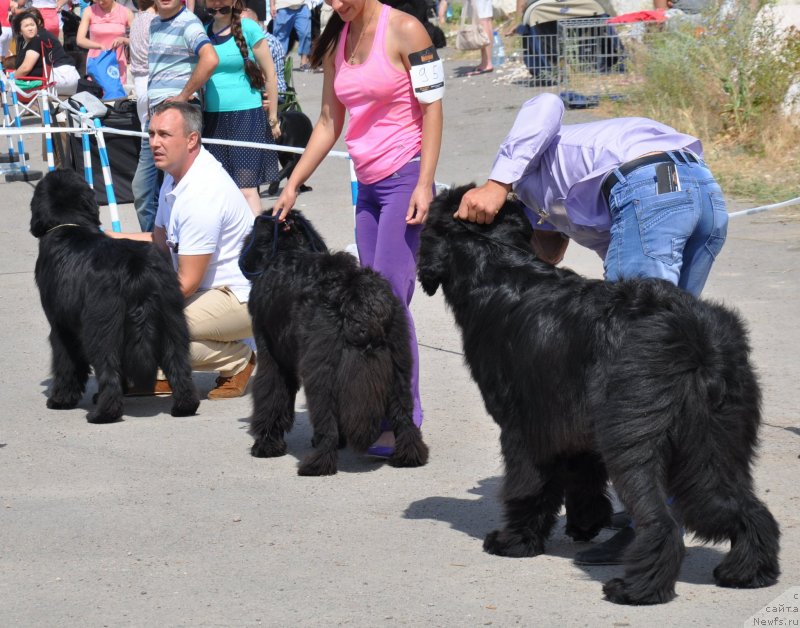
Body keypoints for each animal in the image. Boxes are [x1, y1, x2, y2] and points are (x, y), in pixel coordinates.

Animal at [30, 169, 200, 422]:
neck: (69, 223)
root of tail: (136, 267)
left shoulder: (61, 326)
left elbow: (66, 363)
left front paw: (61, 400)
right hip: (172, 321)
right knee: (178, 363)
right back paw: (184, 407)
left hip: (101, 327)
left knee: (108, 367)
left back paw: (102, 414)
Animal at [238, 209, 428, 474]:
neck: (286, 251)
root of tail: (360, 301)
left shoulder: (271, 357)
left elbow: (270, 397)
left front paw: (266, 444)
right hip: (399, 367)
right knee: (404, 418)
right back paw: (409, 456)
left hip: (321, 373)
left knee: (326, 421)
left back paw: (317, 464)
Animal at [418, 185, 780, 604]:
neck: (497, 268)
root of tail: (695, 338)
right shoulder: (575, 421)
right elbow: (584, 475)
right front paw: (585, 522)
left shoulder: (523, 426)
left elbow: (528, 485)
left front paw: (514, 541)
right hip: (715, 442)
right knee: (742, 505)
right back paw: (749, 571)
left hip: (636, 437)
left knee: (661, 520)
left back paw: (637, 587)